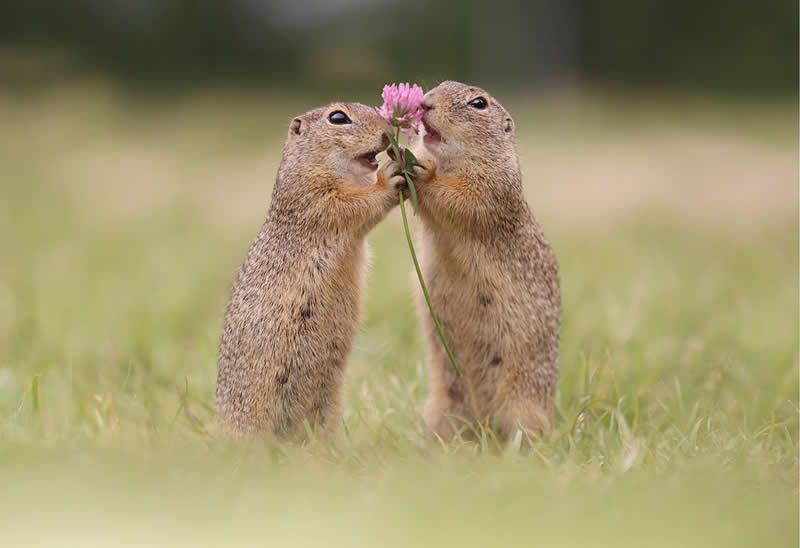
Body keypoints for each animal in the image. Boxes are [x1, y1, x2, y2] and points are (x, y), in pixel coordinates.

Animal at [407, 81, 561, 441]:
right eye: (440, 85)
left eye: (478, 103)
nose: (425, 102)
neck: (451, 161)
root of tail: (483, 425)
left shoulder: (489, 188)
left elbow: (458, 199)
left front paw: (422, 172)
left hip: (523, 405)